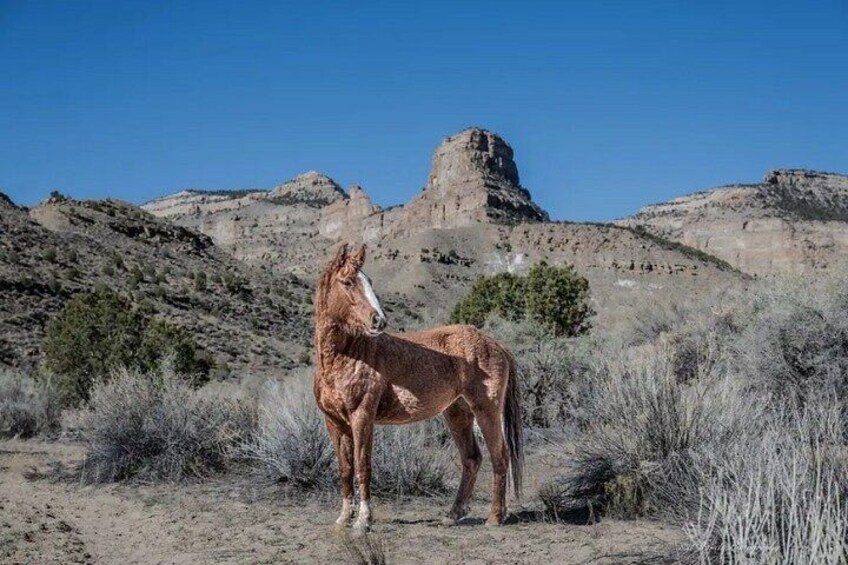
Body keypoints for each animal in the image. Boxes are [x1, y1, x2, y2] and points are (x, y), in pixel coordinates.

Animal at [313, 243, 523, 534]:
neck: (348, 356)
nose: (379, 321)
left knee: (499, 455)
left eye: (369, 281)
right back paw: (453, 514)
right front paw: (344, 518)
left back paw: (494, 517)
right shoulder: (334, 423)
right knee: (472, 458)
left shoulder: (362, 418)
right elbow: (345, 469)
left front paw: (363, 521)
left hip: (487, 410)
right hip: (457, 413)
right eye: (347, 282)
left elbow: (363, 466)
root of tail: (495, 343)